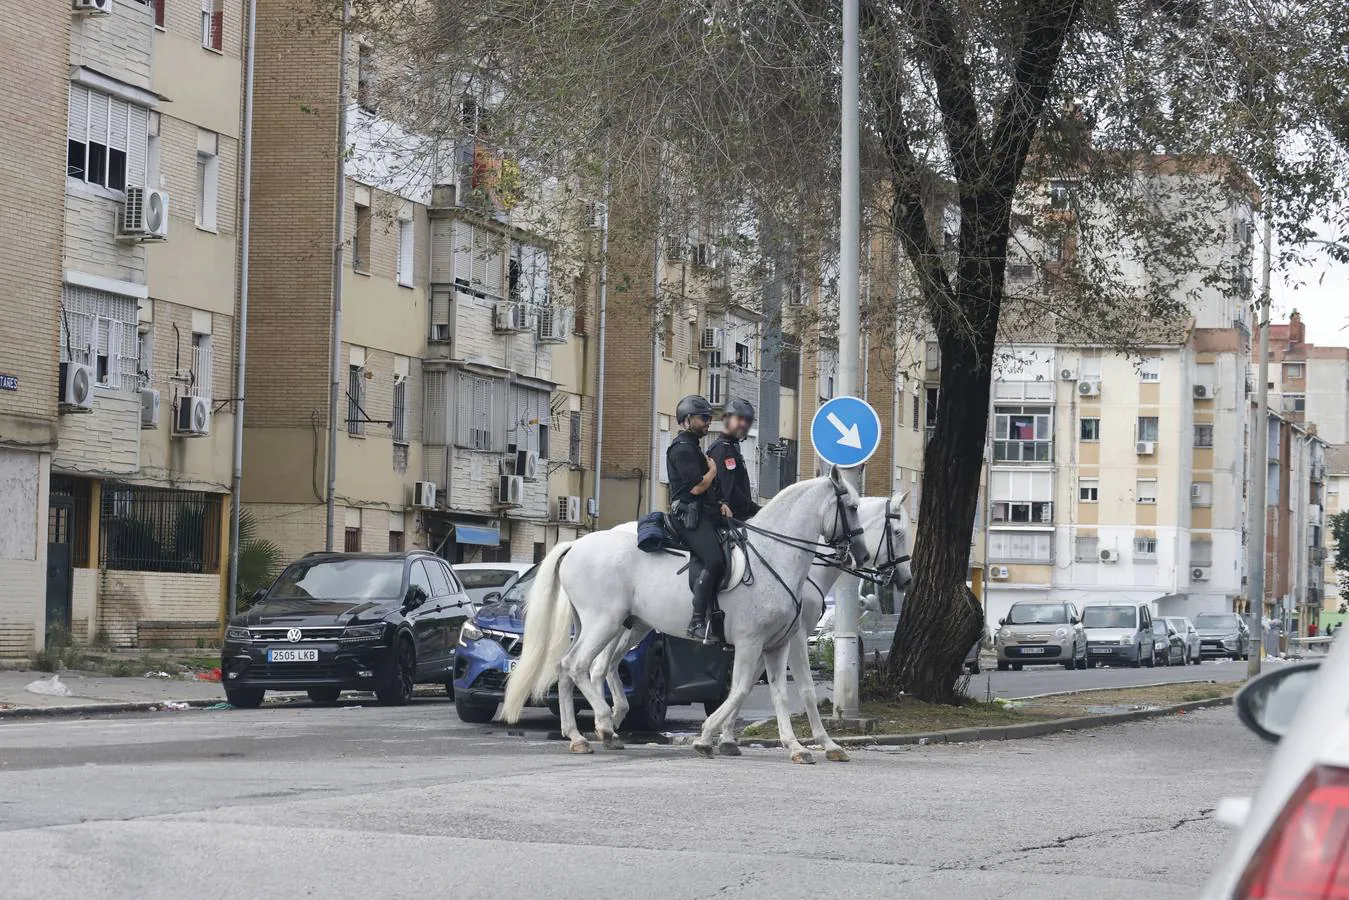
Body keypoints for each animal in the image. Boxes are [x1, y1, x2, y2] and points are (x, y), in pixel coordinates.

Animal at [501, 469, 868, 766]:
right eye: (851, 507)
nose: (862, 556)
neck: (775, 558)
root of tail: (575, 545)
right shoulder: (751, 643)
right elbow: (741, 689)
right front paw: (706, 738)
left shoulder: (776, 645)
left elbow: (779, 693)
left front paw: (797, 747)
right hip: (604, 622)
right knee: (577, 666)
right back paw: (603, 724)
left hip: (608, 626)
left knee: (569, 668)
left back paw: (579, 736)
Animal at [596, 493, 911, 761]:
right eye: (898, 533)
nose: (906, 580)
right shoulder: (793, 637)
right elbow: (802, 689)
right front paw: (827, 743)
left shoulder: (768, 640)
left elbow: (746, 686)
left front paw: (724, 738)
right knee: (599, 663)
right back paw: (606, 722)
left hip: (634, 626)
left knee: (605, 664)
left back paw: (611, 722)